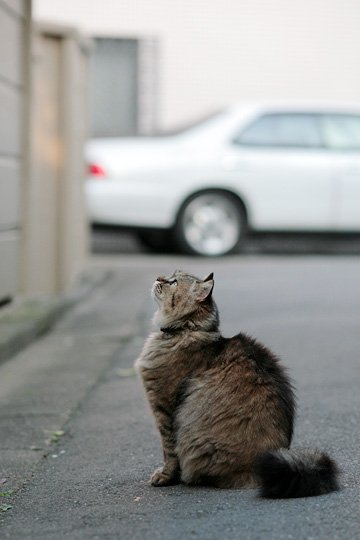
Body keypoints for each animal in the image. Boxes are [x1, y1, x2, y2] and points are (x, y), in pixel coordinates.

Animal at [134, 270, 338, 498]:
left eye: (174, 282)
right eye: (171, 276)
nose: (158, 278)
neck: (187, 330)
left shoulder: (164, 405)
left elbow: (169, 450)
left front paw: (165, 477)